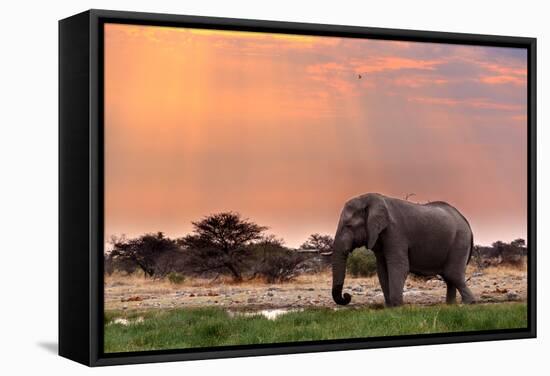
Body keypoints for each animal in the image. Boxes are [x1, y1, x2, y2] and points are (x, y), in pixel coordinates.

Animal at [334, 192, 476, 306]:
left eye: (348, 226)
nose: (347, 296)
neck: (370, 200)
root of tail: (467, 223)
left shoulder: (395, 232)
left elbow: (399, 266)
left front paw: (397, 306)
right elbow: (382, 269)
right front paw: (390, 306)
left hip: (460, 240)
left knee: (453, 274)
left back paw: (469, 303)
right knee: (449, 277)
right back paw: (450, 305)